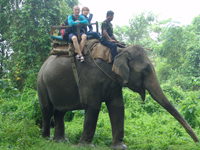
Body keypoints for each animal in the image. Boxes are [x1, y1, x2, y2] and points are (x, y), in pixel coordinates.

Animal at [37, 44, 198, 149]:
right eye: (146, 70)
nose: (197, 142)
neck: (119, 51)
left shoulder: (114, 81)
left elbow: (118, 107)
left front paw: (120, 147)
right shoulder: (91, 77)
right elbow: (92, 106)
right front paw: (86, 146)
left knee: (60, 112)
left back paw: (61, 141)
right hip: (41, 83)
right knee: (47, 110)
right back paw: (46, 139)